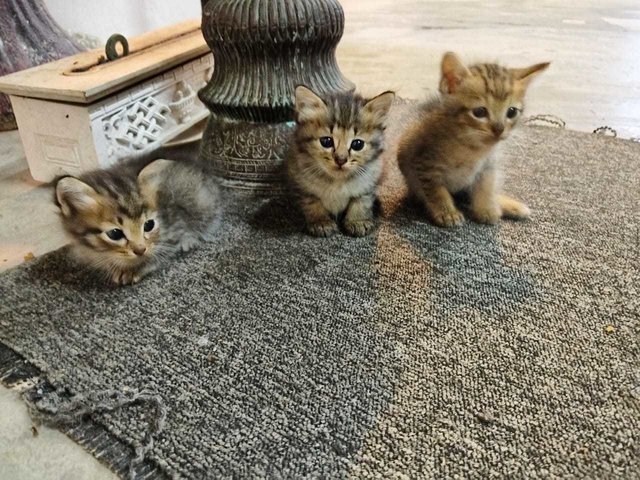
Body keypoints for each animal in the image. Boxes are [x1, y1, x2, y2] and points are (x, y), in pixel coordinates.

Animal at [55, 159, 220, 284]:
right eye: (115, 234)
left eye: (149, 225)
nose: (140, 250)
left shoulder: (174, 228)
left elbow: (160, 252)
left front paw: (135, 269)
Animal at [286, 86, 396, 238]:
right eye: (326, 141)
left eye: (357, 144)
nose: (341, 160)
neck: (337, 182)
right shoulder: (301, 182)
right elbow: (312, 203)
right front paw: (321, 221)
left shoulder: (369, 181)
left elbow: (361, 201)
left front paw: (357, 221)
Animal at [398, 51, 548, 228]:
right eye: (479, 112)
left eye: (511, 112)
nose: (499, 129)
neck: (471, 147)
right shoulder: (425, 164)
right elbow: (436, 191)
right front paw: (447, 212)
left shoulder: (489, 166)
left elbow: (487, 187)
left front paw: (487, 209)